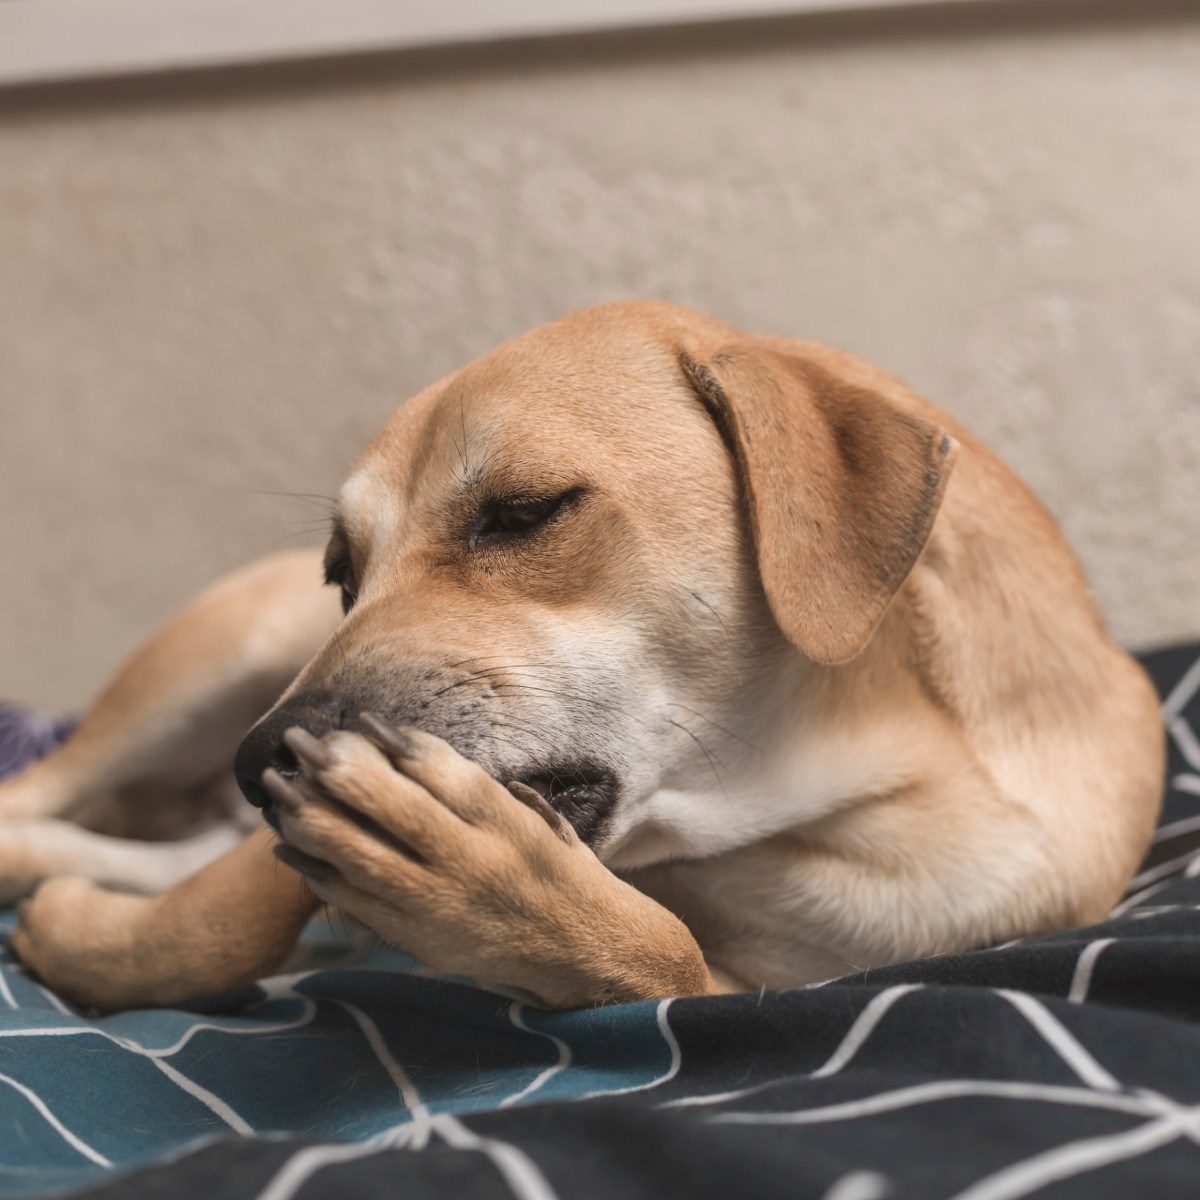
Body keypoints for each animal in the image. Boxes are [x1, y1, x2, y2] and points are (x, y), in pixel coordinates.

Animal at [0, 302, 1161, 1012]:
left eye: (522, 511)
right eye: (344, 570)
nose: (263, 761)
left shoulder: (767, 990)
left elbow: (663, 956)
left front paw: (502, 896)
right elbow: (226, 919)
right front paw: (90, 942)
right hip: (206, 665)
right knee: (45, 796)